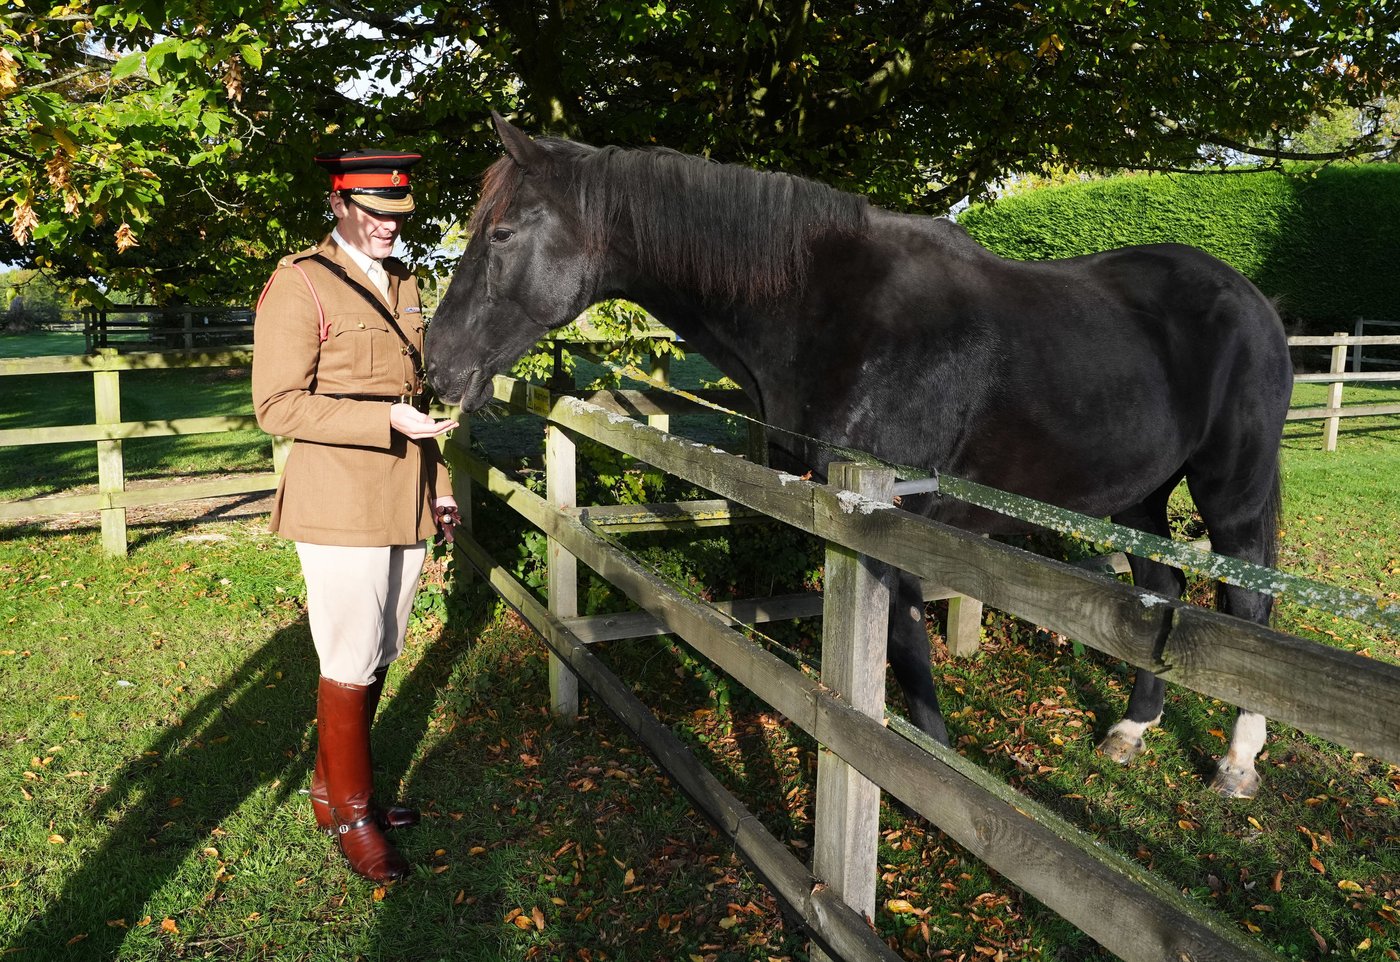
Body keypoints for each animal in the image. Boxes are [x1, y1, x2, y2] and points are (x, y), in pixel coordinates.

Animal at [425, 113, 1294, 798]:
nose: (436, 361)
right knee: (1161, 591)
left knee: (1248, 612)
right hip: (1137, 496)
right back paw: (1132, 730)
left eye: (500, 233)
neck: (833, 312)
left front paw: (932, 782)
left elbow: (905, 656)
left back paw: (1238, 764)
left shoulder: (890, 522)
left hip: (1232, 493)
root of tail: (1253, 300)